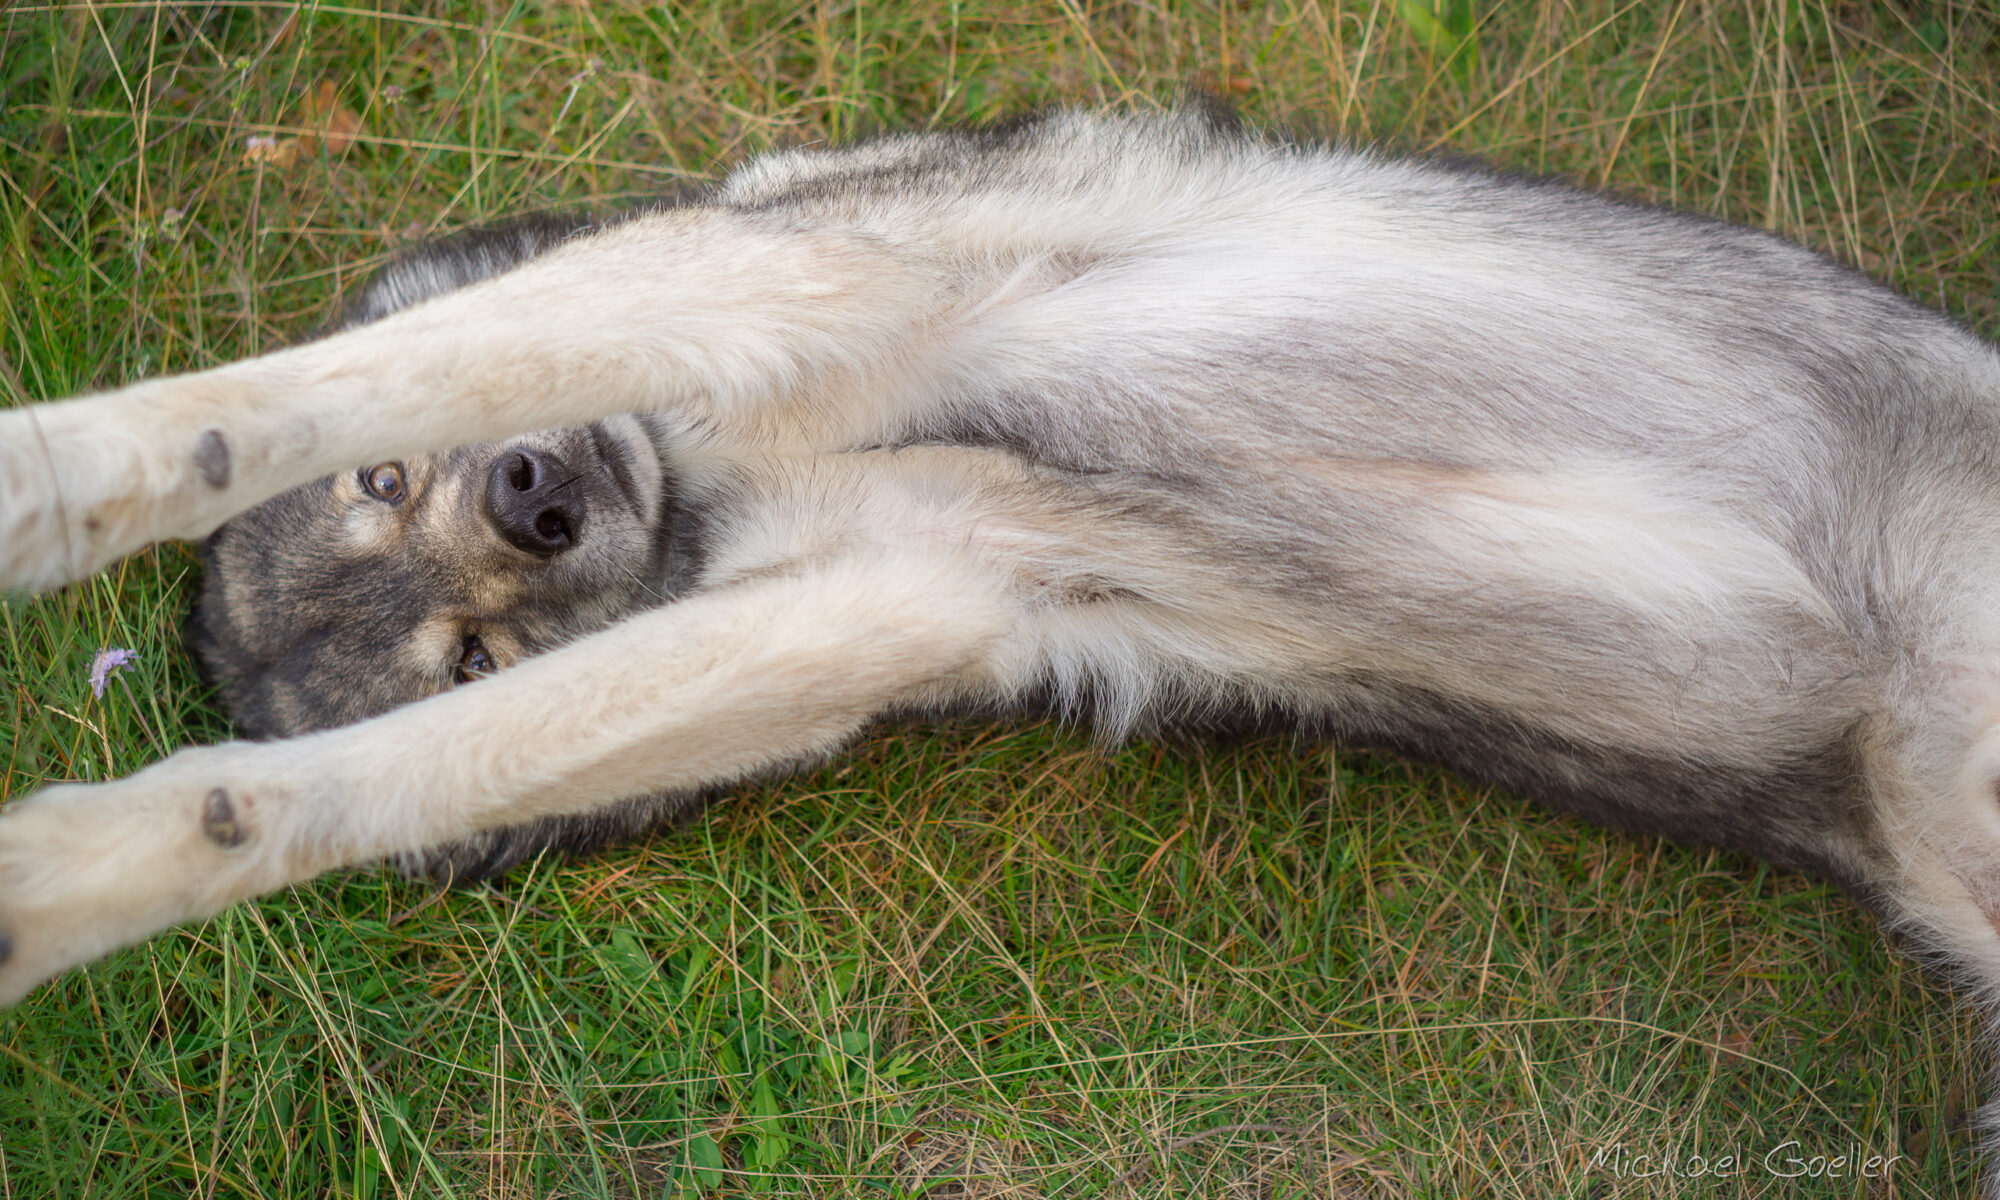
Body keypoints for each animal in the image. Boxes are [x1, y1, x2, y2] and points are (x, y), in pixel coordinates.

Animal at [3, 98, 2000, 1176]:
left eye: (396, 484)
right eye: (471, 651)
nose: (539, 501)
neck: (723, 477)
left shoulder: (841, 268)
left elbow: (332, 378)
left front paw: (68, 473)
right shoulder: (918, 590)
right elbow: (363, 778)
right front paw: (102, 870)